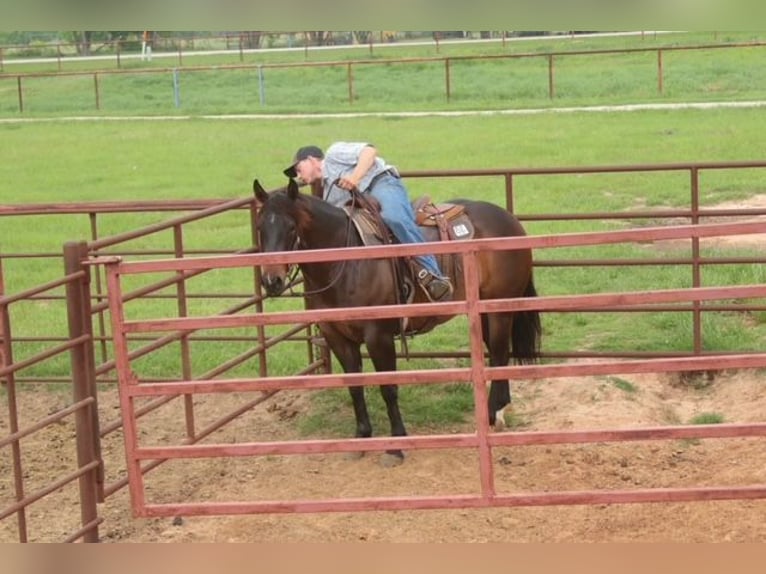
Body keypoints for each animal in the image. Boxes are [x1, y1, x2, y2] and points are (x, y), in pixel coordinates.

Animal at [253, 178, 541, 466]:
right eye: (259, 227)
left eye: (291, 227)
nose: (271, 281)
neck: (344, 263)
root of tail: (508, 218)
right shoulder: (337, 336)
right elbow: (354, 387)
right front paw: (361, 438)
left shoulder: (377, 336)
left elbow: (388, 387)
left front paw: (396, 446)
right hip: (483, 311)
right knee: (496, 354)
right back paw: (498, 409)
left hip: (500, 307)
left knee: (500, 353)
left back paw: (495, 413)